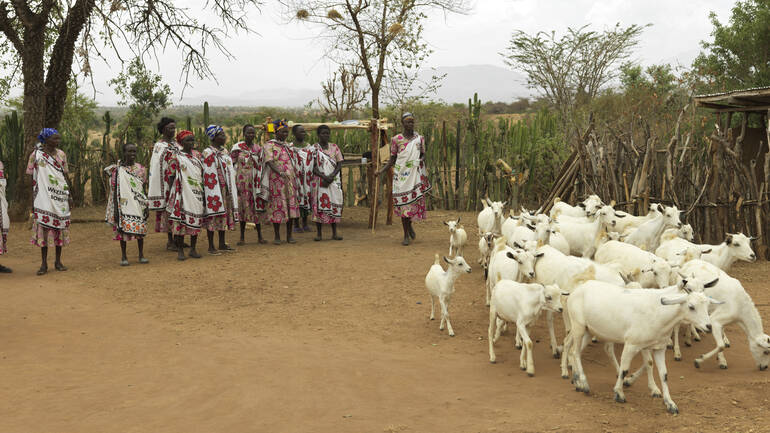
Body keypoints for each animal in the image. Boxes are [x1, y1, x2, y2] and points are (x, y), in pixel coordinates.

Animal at [564, 278, 720, 414]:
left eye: (707, 305)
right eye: (691, 306)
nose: (708, 327)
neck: (659, 311)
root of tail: (577, 289)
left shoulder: (658, 348)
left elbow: (663, 374)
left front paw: (670, 403)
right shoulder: (631, 345)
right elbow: (625, 369)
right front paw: (619, 393)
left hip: (589, 331)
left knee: (574, 351)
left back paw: (577, 382)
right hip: (578, 326)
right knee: (576, 352)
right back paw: (584, 384)